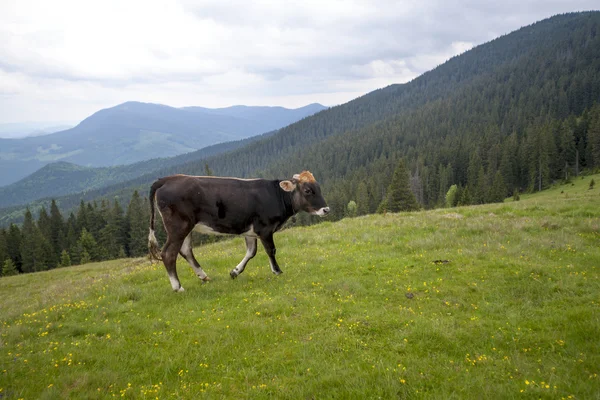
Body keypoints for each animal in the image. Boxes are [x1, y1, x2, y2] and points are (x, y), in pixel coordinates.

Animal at [148, 170, 330, 292]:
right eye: (307, 190)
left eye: (319, 188)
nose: (326, 209)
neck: (276, 196)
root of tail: (168, 179)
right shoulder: (265, 228)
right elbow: (270, 250)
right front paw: (277, 271)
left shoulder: (249, 231)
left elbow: (251, 252)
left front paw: (234, 272)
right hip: (178, 226)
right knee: (169, 253)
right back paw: (178, 287)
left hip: (187, 226)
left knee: (185, 250)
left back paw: (204, 276)